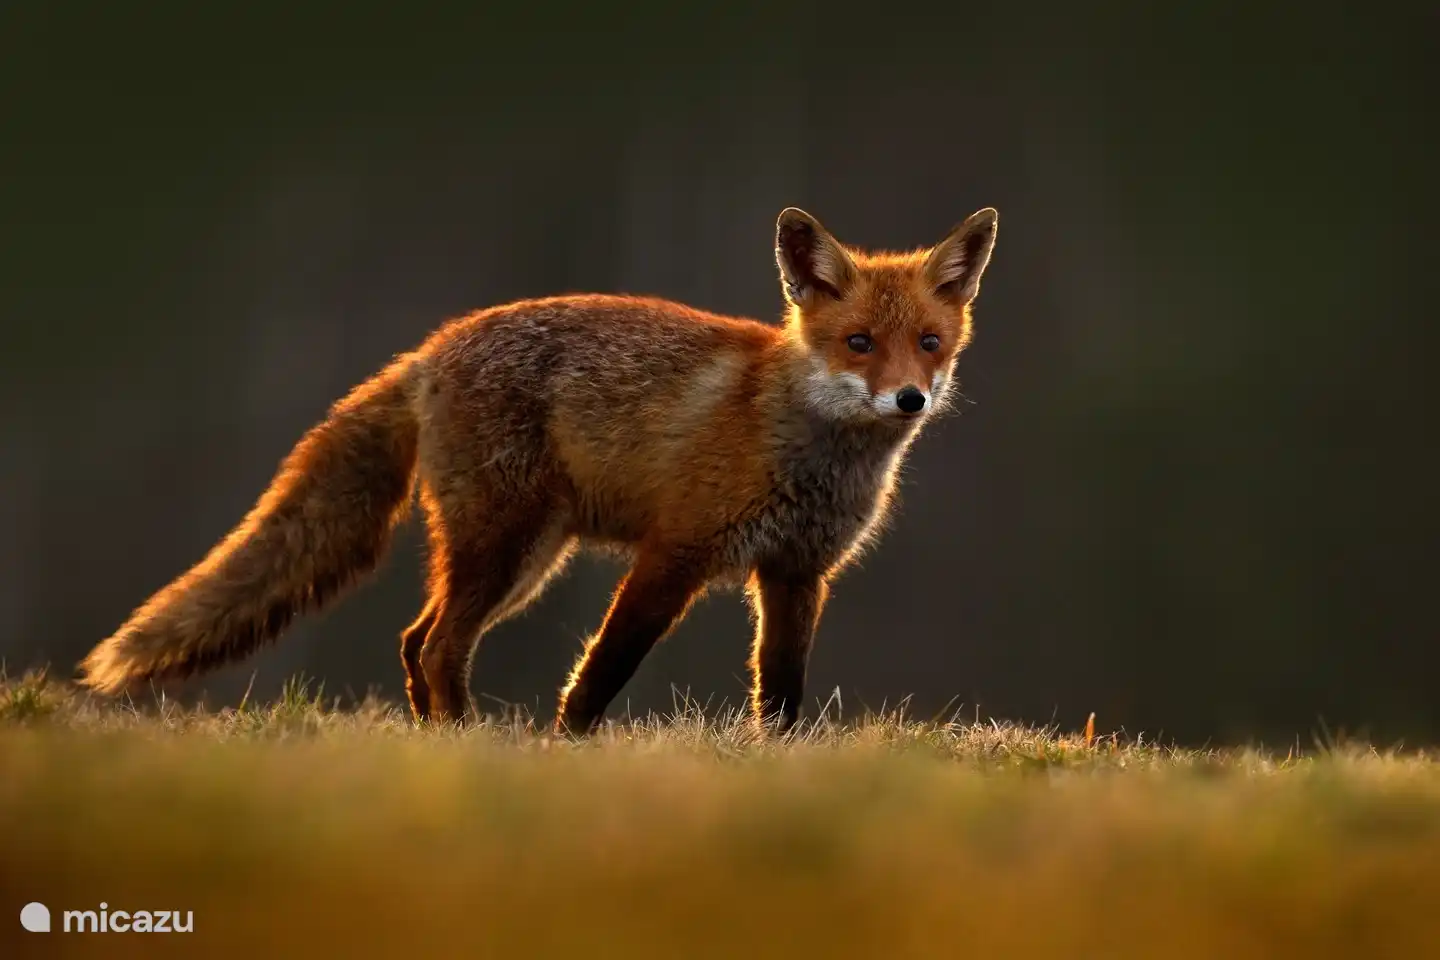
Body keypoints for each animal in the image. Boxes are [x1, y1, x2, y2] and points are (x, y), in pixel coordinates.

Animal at [77, 205, 999, 734]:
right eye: (858, 343)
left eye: (929, 342)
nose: (910, 399)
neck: (806, 448)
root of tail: (429, 349)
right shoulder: (674, 554)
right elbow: (602, 670)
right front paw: (570, 752)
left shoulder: (798, 572)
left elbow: (781, 693)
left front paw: (777, 764)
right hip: (506, 546)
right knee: (438, 646)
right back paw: (463, 743)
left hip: (525, 559)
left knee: (415, 641)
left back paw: (435, 737)